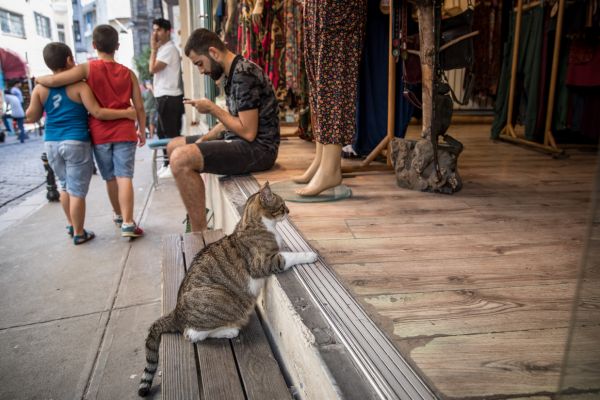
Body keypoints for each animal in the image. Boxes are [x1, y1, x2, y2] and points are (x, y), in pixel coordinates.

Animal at [138, 181, 316, 396]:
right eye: (282, 205)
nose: (289, 210)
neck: (255, 224)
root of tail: (176, 312)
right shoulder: (264, 263)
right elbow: (288, 256)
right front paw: (309, 254)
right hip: (225, 301)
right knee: (192, 334)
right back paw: (229, 331)